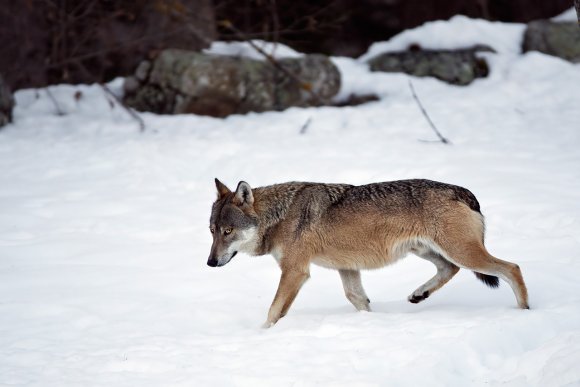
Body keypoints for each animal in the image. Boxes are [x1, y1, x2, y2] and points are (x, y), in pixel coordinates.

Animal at [208, 179, 532, 328]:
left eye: (228, 231)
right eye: (212, 230)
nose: (210, 262)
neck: (279, 215)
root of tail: (464, 191)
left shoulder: (295, 272)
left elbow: (273, 311)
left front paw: (261, 334)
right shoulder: (347, 268)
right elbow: (358, 300)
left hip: (461, 252)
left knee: (512, 267)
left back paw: (524, 312)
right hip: (428, 251)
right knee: (450, 270)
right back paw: (419, 294)